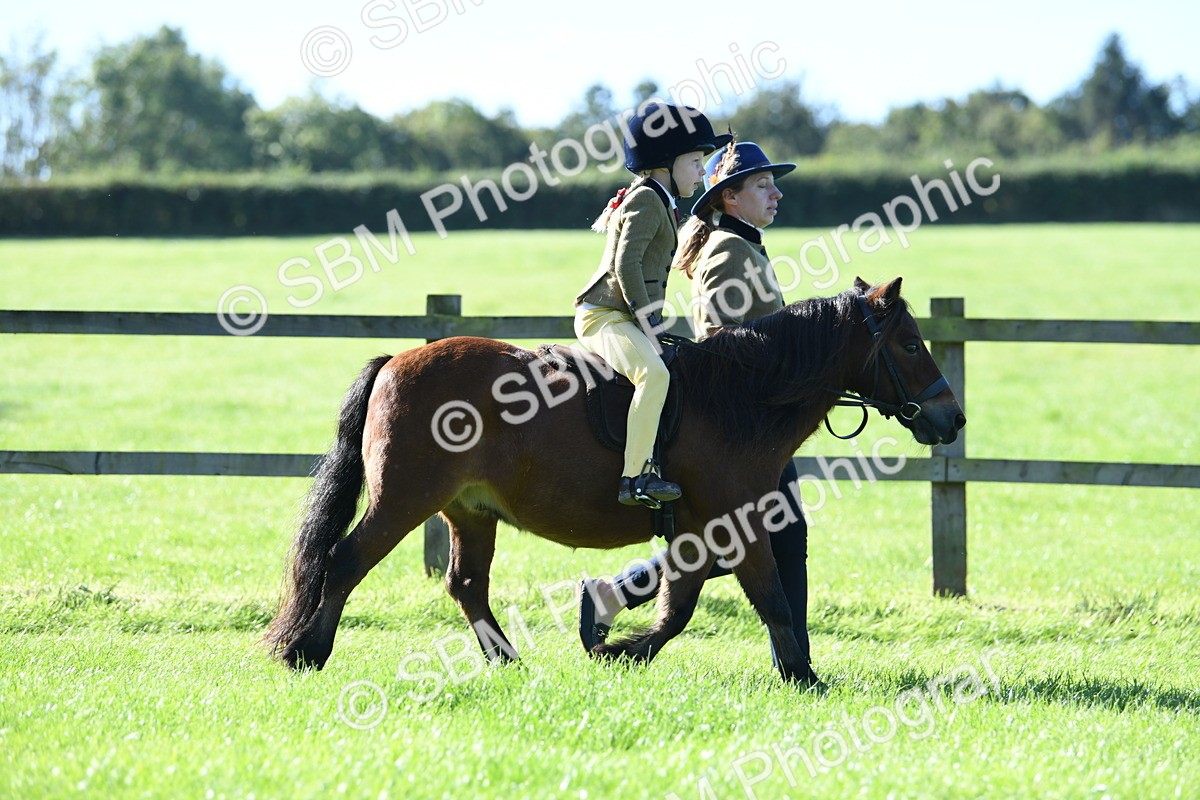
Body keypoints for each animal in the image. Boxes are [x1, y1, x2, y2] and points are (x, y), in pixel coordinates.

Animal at [262, 277, 965, 684]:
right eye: (909, 343)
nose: (952, 418)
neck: (741, 395)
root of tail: (396, 360)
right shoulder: (736, 522)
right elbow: (770, 599)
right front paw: (803, 677)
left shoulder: (704, 530)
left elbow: (680, 603)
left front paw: (612, 642)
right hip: (405, 500)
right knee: (344, 560)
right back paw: (306, 653)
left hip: (470, 510)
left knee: (465, 586)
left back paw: (509, 663)